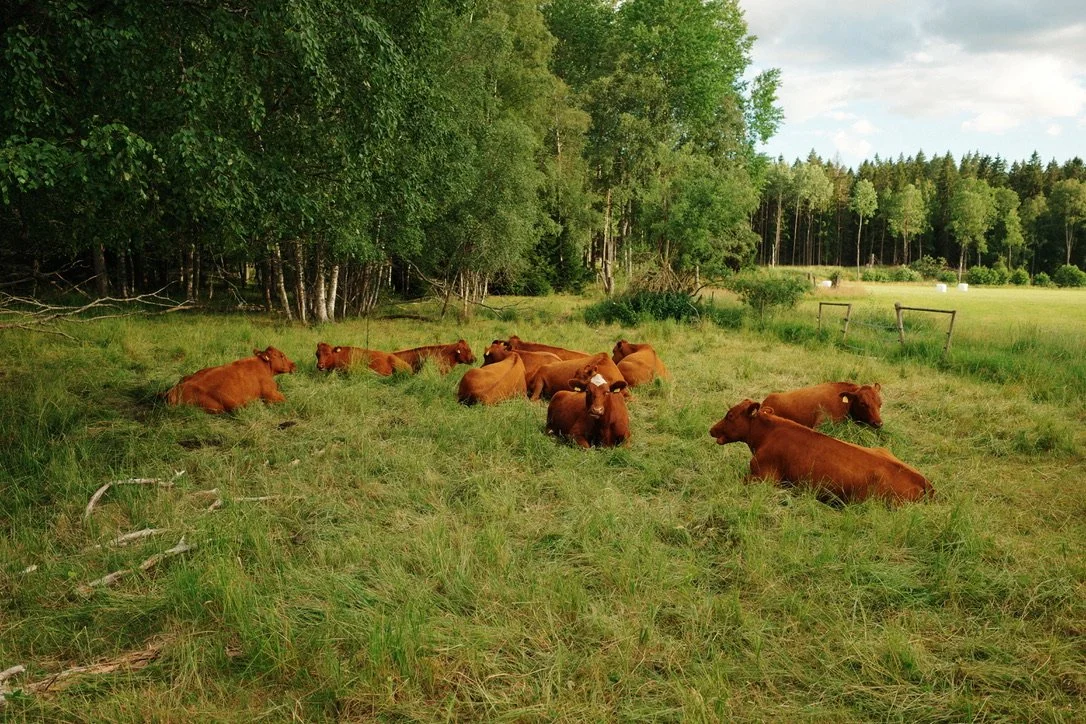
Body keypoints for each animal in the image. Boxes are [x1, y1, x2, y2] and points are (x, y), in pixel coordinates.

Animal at [166, 346, 297, 414]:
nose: (294, 364)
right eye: (281, 355)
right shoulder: (271, 394)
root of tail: (174, 390)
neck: (265, 367)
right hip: (215, 408)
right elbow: (286, 400)